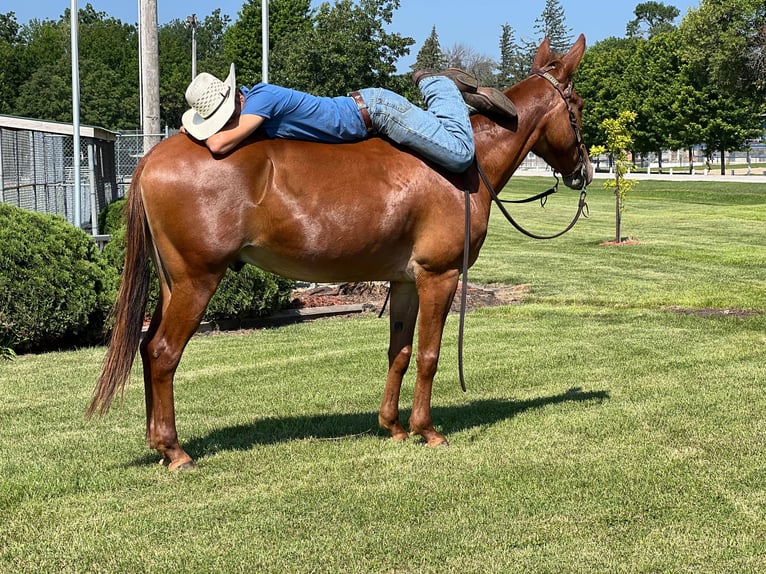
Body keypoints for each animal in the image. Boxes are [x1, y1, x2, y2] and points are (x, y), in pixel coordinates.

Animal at [88, 35, 592, 472]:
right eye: (580, 107)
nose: (584, 172)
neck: (469, 165)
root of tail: (151, 159)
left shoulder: (405, 281)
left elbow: (399, 352)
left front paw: (393, 426)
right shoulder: (439, 275)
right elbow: (429, 354)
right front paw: (427, 430)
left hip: (173, 282)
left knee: (147, 346)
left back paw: (158, 443)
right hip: (197, 280)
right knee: (163, 352)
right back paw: (175, 451)